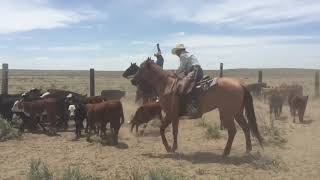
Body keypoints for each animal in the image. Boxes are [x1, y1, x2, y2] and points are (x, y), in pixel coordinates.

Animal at [130, 59, 262, 156]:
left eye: (141, 69)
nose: (132, 81)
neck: (167, 86)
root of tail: (240, 84)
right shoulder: (171, 115)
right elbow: (165, 129)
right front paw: (170, 147)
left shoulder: (171, 114)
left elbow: (170, 130)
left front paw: (171, 148)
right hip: (237, 113)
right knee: (245, 128)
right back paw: (248, 149)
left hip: (227, 114)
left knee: (233, 131)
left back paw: (226, 152)